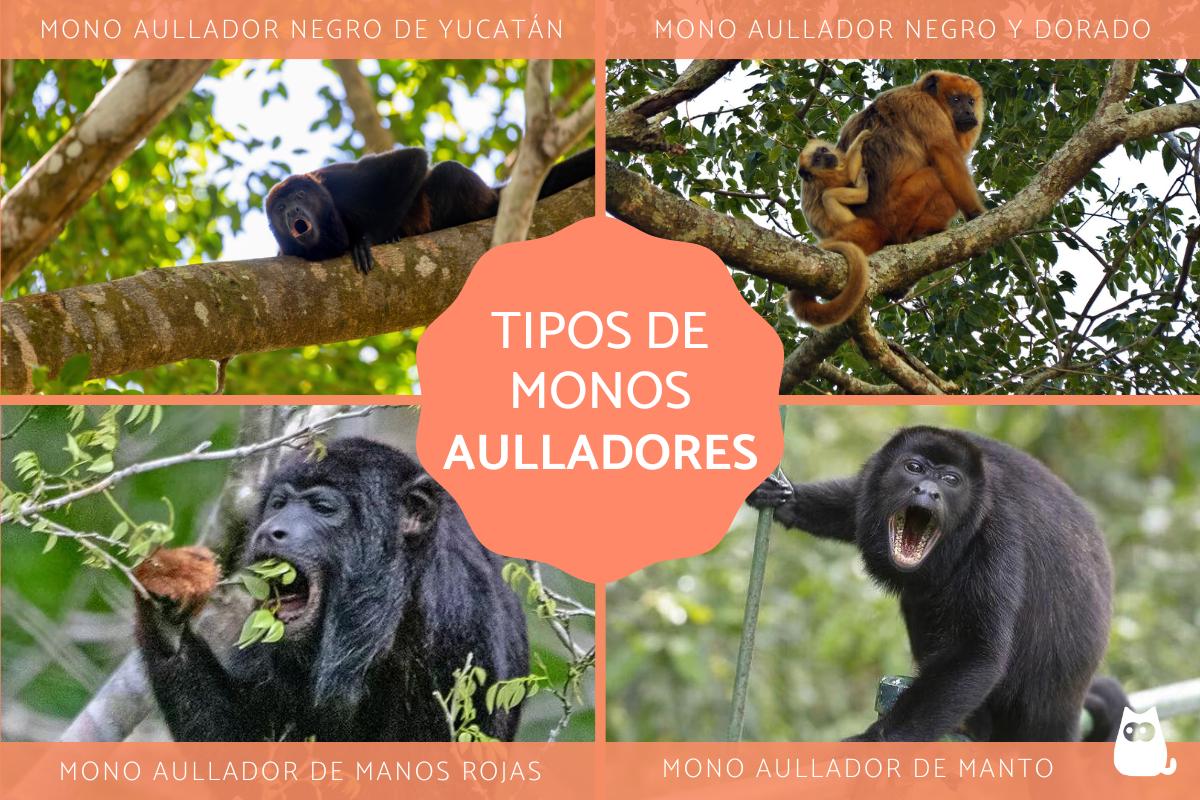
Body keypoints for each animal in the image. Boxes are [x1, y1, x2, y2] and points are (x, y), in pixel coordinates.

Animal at [267, 147, 595, 274]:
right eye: (280, 208)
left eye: (300, 195)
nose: (292, 210)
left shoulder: (338, 180)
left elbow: (410, 160)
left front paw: (366, 241)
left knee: (448, 172)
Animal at [747, 426, 1119, 742]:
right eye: (914, 468)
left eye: (950, 480)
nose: (928, 491)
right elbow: (851, 504)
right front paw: (785, 496)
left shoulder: (997, 531)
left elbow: (976, 651)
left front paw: (873, 743)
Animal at [790, 129, 876, 327]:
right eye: (817, 160)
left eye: (822, 150)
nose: (828, 156)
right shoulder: (829, 178)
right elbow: (847, 176)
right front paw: (859, 140)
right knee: (828, 196)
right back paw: (862, 193)